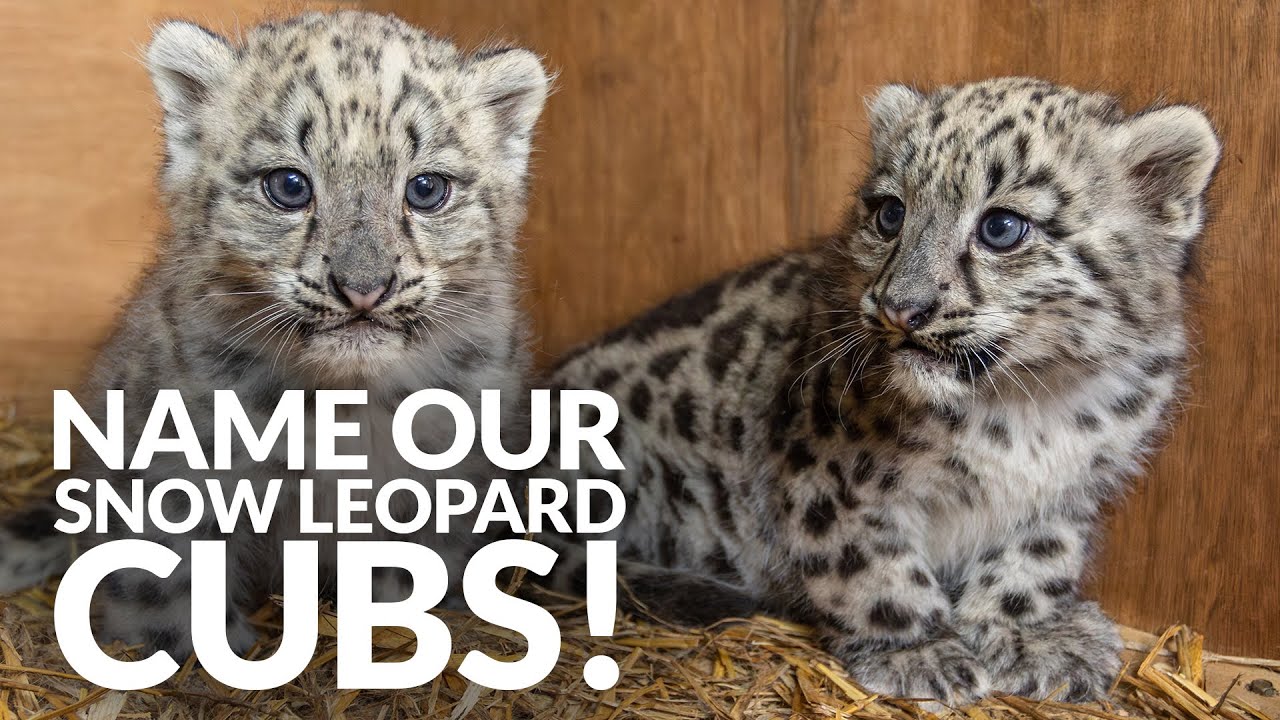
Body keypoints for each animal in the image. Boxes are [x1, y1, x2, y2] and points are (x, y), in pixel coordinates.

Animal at [0, 10, 549, 661]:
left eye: (426, 189)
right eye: (288, 185)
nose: (363, 286)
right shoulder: (174, 471)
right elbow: (165, 582)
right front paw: (197, 651)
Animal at [536, 77, 1220, 705]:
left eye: (1002, 226)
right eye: (890, 213)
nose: (899, 307)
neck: (1025, 404)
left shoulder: (1070, 488)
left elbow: (1038, 557)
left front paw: (1032, 636)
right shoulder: (827, 476)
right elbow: (868, 565)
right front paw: (918, 650)